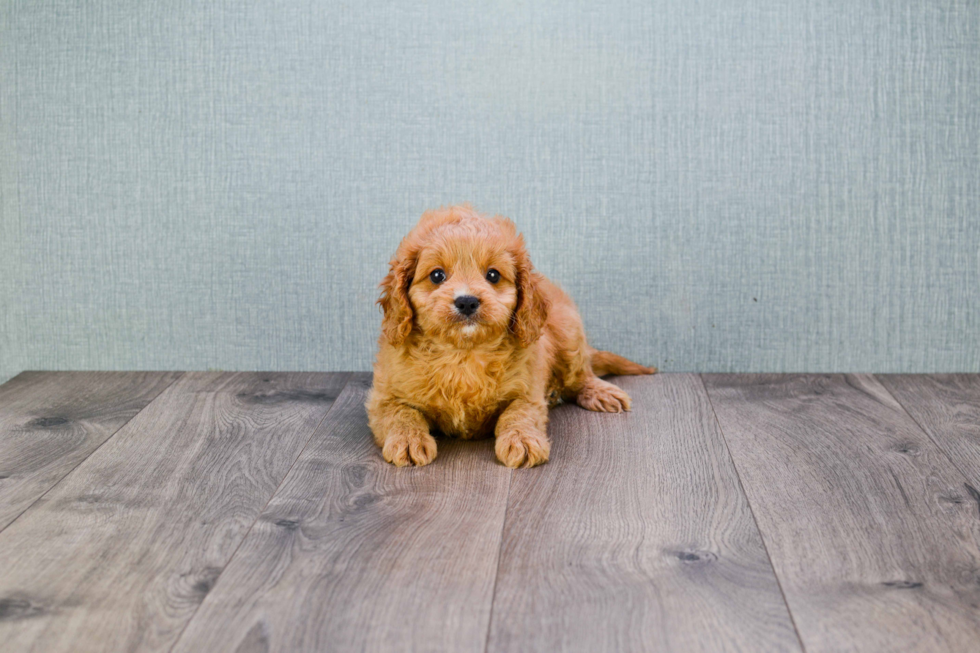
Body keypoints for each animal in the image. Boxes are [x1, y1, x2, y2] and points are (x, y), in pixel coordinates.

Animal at [364, 206, 656, 466]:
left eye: (493, 275)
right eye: (437, 275)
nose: (467, 301)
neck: (463, 353)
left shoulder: (528, 390)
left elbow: (518, 413)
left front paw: (522, 439)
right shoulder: (384, 396)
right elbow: (401, 413)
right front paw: (408, 440)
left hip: (568, 332)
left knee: (580, 374)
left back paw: (599, 391)